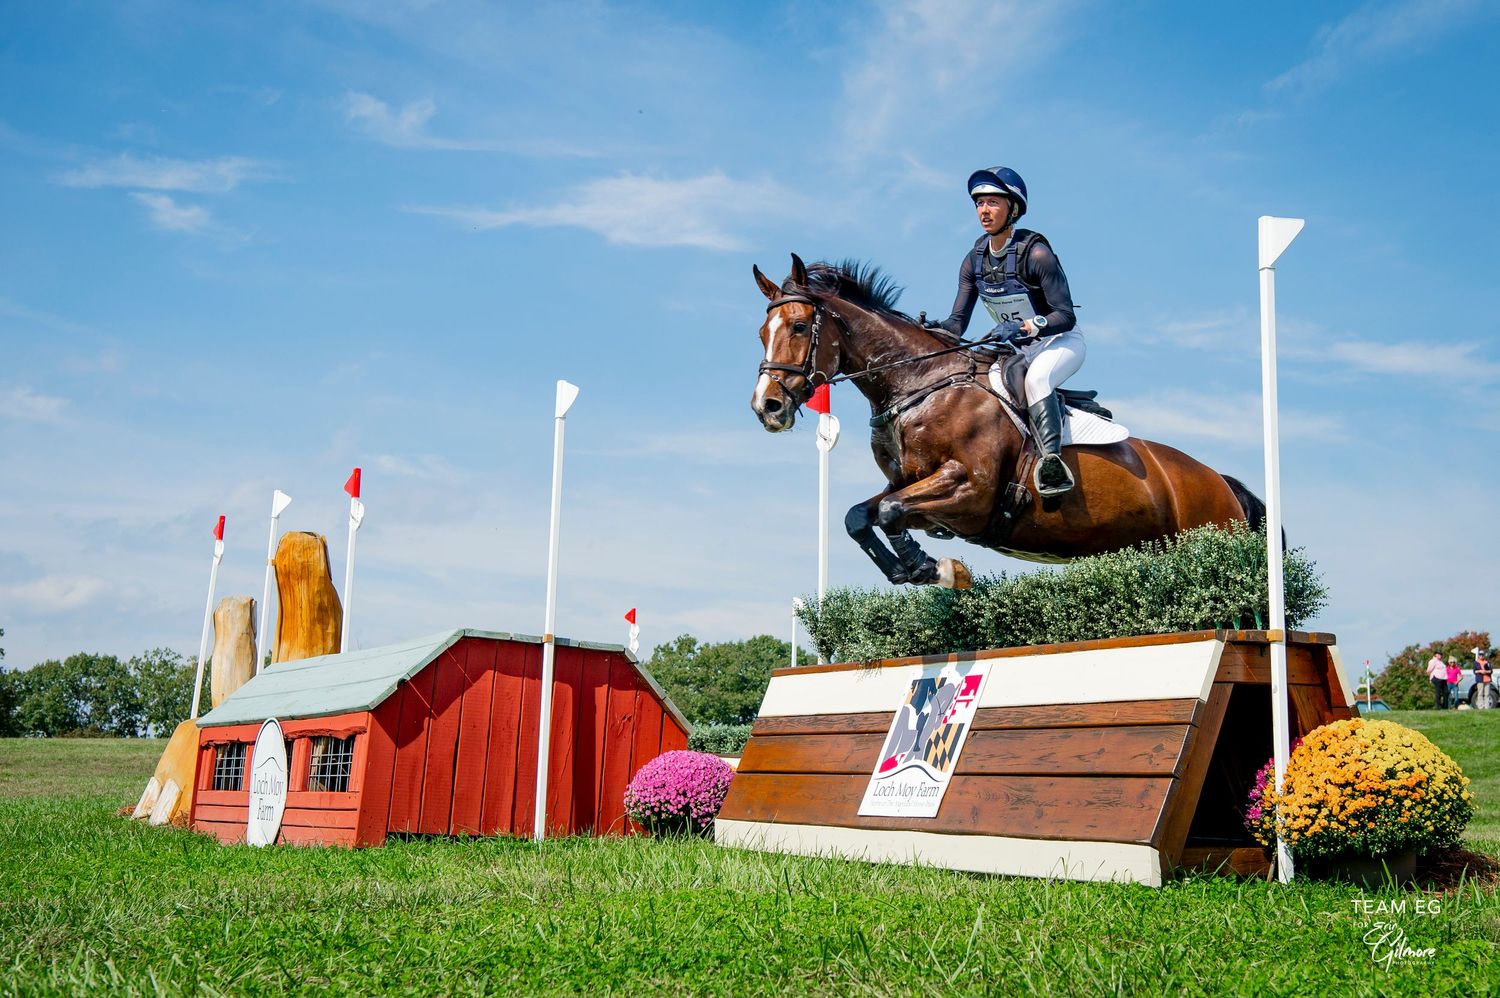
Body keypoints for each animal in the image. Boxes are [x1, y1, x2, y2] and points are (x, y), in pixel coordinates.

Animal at [749, 254, 1263, 588]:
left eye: (799, 327)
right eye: (760, 332)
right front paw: (912, 569)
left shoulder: (970, 491)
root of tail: (1221, 481)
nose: (766, 407)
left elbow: (893, 512)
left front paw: (934, 568)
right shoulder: (911, 484)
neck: (919, 385)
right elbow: (860, 515)